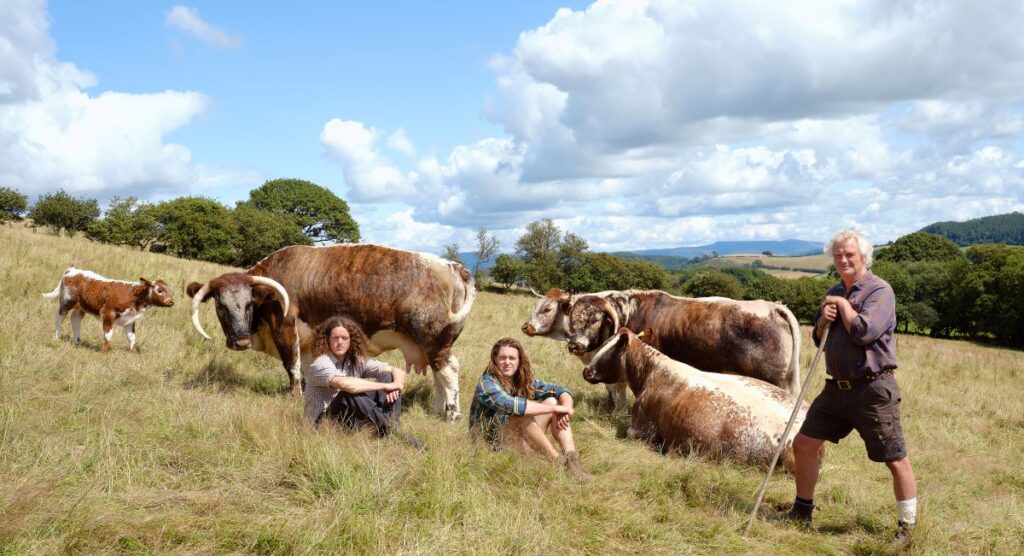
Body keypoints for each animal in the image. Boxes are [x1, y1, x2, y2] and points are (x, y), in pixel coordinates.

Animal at [43, 266, 176, 352]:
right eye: (159, 290)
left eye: (169, 290)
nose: (171, 302)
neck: (133, 296)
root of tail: (72, 270)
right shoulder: (108, 313)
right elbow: (108, 334)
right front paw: (104, 351)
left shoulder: (130, 320)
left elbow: (132, 337)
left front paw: (134, 352)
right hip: (67, 301)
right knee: (59, 317)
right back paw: (56, 337)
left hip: (81, 306)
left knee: (75, 320)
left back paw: (78, 342)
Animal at [188, 243, 475, 421]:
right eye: (220, 305)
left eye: (248, 303)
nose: (240, 340)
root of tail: (455, 266)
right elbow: (307, 369)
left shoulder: (284, 327)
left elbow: (291, 365)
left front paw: (294, 396)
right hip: (432, 345)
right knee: (439, 376)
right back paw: (438, 410)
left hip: (435, 340)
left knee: (449, 371)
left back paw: (452, 414)